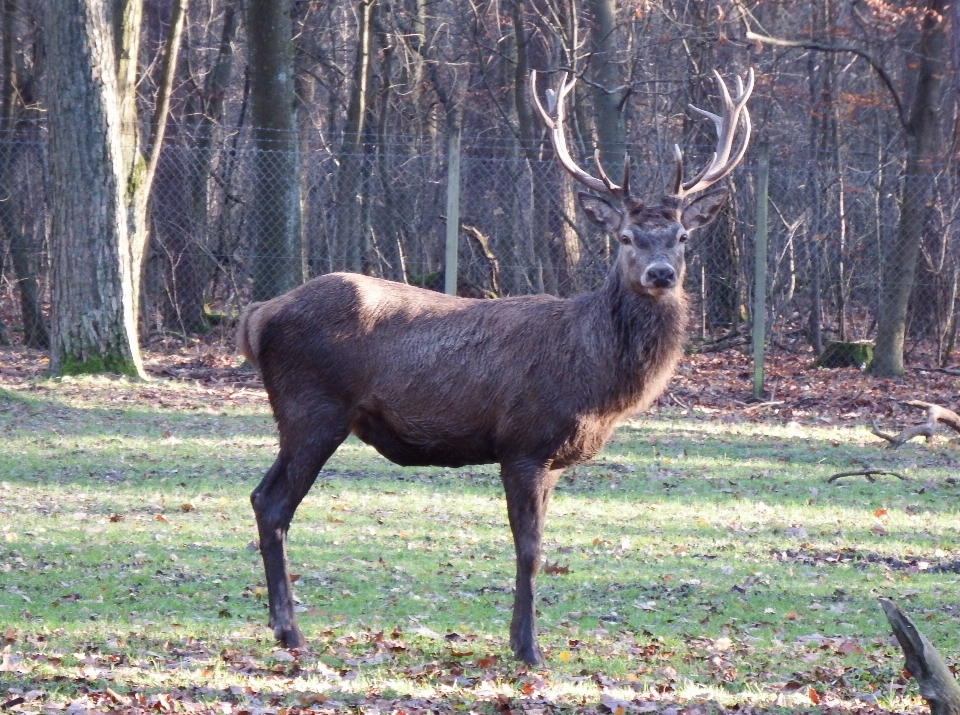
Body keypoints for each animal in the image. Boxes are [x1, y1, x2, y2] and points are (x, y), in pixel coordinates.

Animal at [236, 67, 752, 664]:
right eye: (625, 237)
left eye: (682, 236)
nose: (661, 273)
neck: (597, 383)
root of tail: (259, 314)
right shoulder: (523, 442)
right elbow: (529, 548)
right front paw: (529, 649)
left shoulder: (552, 460)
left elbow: (539, 546)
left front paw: (518, 639)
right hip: (312, 408)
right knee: (272, 502)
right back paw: (290, 631)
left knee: (264, 497)